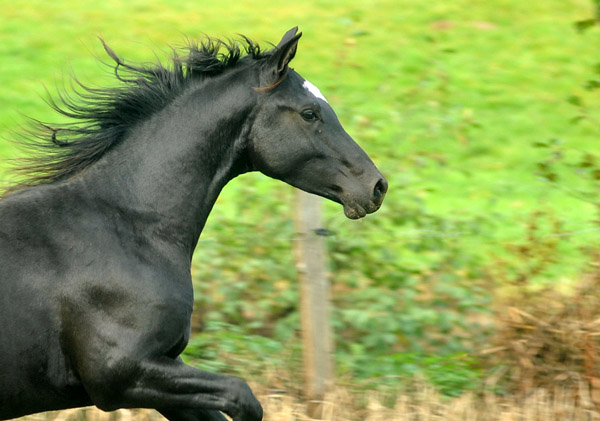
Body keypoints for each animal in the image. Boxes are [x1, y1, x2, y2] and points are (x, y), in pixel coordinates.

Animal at [0, 27, 386, 418]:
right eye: (310, 113)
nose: (377, 186)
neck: (128, 228)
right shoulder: (120, 375)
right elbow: (243, 396)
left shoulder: (161, 375)